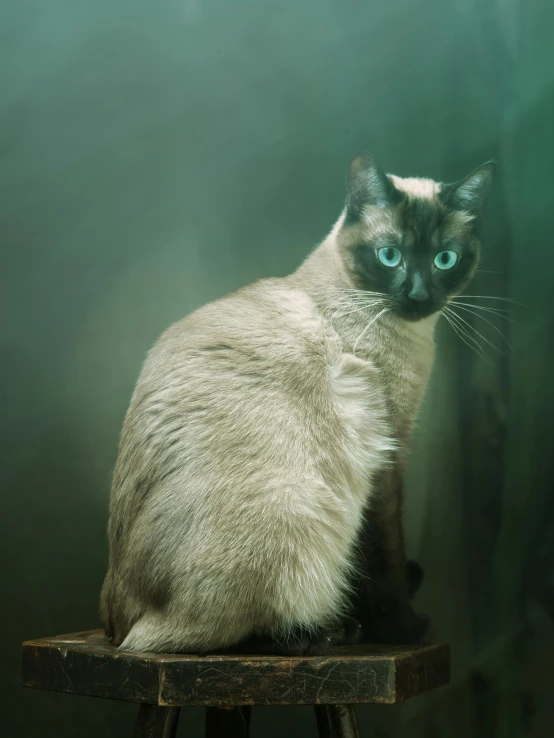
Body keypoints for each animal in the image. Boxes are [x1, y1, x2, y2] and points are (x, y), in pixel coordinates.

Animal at [99, 148, 492, 648]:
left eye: (445, 259)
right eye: (390, 256)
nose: (420, 295)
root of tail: (115, 628)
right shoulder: (385, 457)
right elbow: (385, 558)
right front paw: (404, 631)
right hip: (297, 503)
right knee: (199, 638)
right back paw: (325, 633)